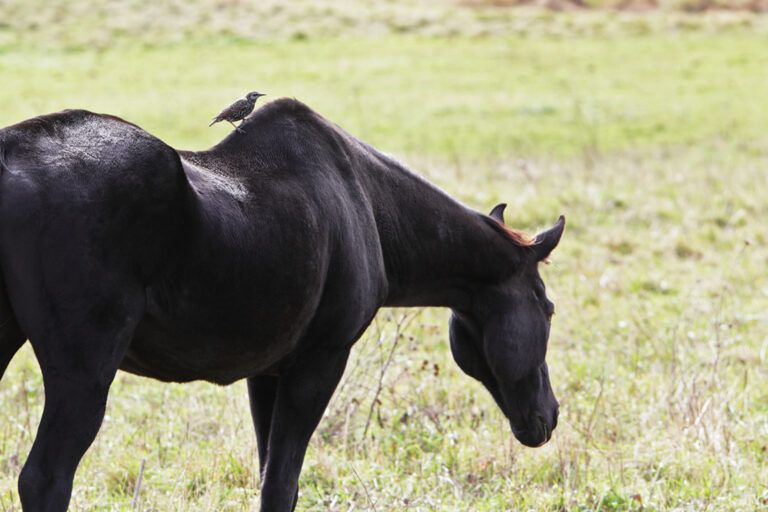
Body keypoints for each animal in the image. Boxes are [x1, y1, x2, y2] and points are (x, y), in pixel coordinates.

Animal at [0, 98, 564, 511]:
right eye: (549, 307)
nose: (550, 415)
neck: (373, 209)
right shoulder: (319, 361)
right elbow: (282, 486)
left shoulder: (266, 374)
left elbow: (269, 475)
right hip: (84, 371)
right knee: (45, 479)